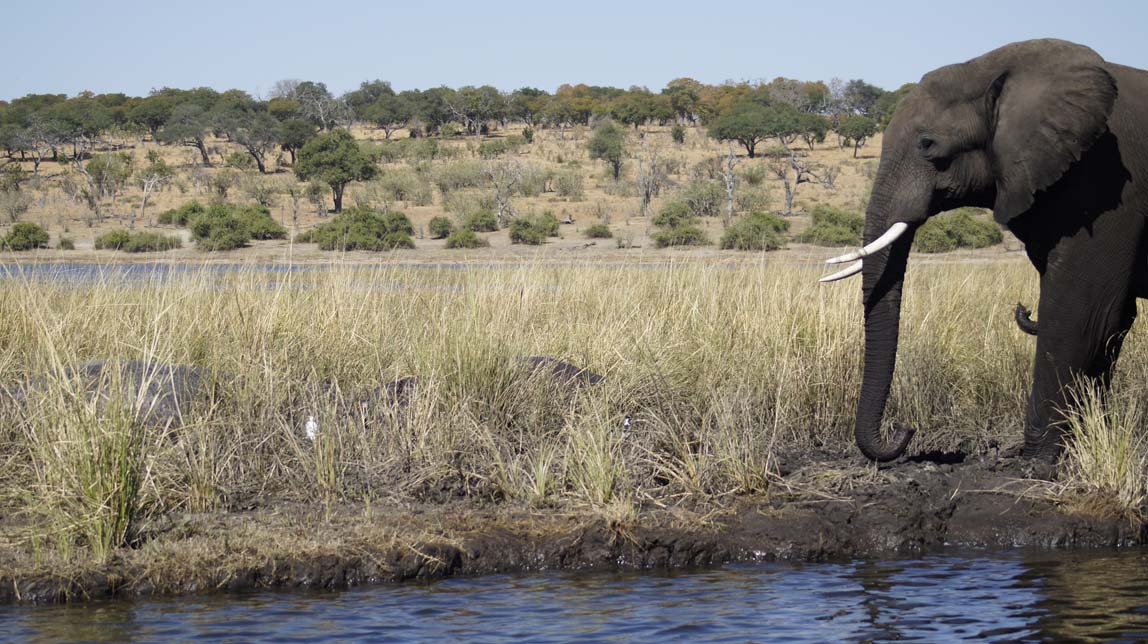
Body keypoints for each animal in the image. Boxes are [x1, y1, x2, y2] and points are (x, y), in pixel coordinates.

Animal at [817, 39, 1148, 461]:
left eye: (927, 145)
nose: (906, 430)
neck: (995, 68)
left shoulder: (1107, 183)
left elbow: (1082, 311)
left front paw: (1038, 462)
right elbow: (1113, 318)